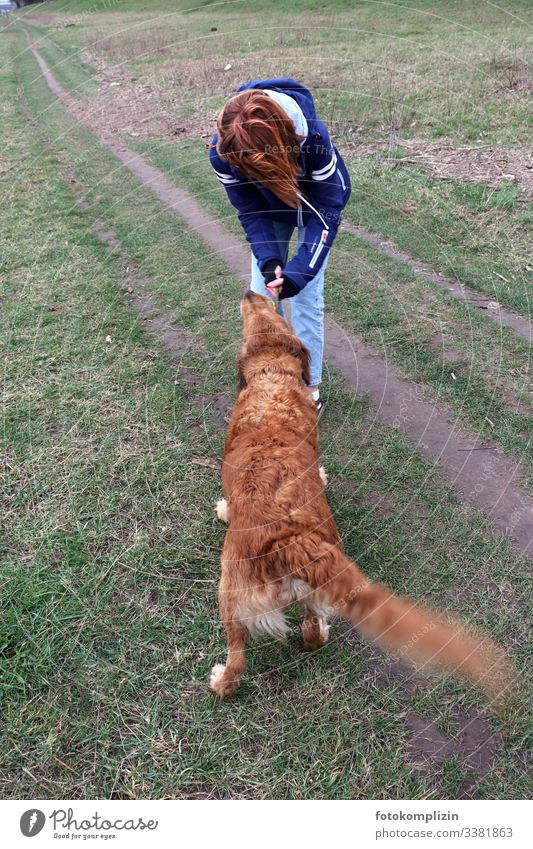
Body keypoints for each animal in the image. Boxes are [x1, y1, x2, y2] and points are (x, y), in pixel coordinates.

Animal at [209, 292, 512, 704]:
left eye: (260, 313)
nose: (253, 293)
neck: (273, 380)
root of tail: (291, 539)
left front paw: (224, 509)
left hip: (229, 596)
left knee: (237, 660)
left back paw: (220, 679)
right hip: (311, 595)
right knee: (313, 632)